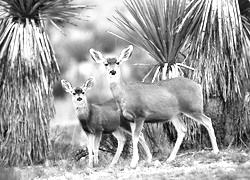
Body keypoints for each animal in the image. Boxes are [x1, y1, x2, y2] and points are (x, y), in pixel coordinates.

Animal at [89, 45, 219, 169]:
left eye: (118, 62)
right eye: (106, 63)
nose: (112, 71)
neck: (125, 95)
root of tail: (199, 86)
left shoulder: (140, 115)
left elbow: (136, 136)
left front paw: (133, 163)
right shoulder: (130, 118)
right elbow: (136, 136)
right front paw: (139, 161)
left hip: (192, 108)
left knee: (207, 121)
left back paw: (216, 151)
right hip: (175, 114)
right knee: (182, 130)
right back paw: (170, 158)